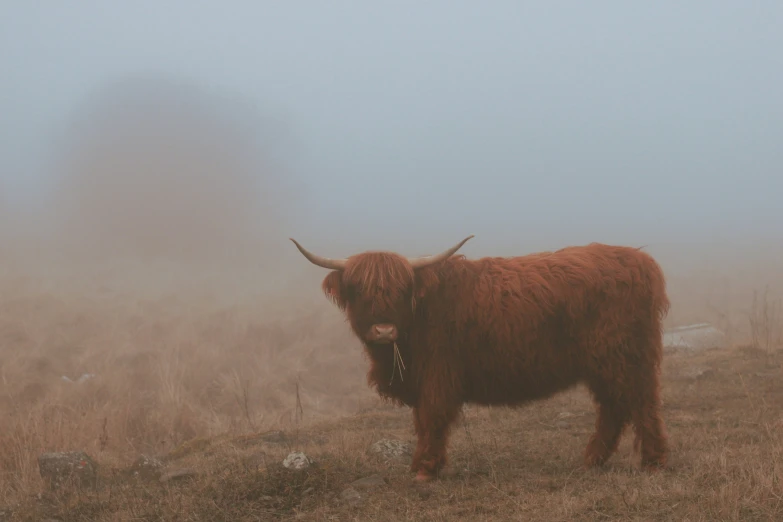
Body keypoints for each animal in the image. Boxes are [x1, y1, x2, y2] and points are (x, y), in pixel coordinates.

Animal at [290, 236, 672, 480]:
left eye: (401, 291)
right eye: (359, 290)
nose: (384, 330)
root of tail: (640, 260)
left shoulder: (438, 375)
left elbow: (432, 418)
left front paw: (425, 468)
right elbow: (421, 421)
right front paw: (422, 465)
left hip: (624, 357)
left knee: (641, 403)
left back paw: (653, 462)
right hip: (604, 364)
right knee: (613, 408)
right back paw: (592, 460)